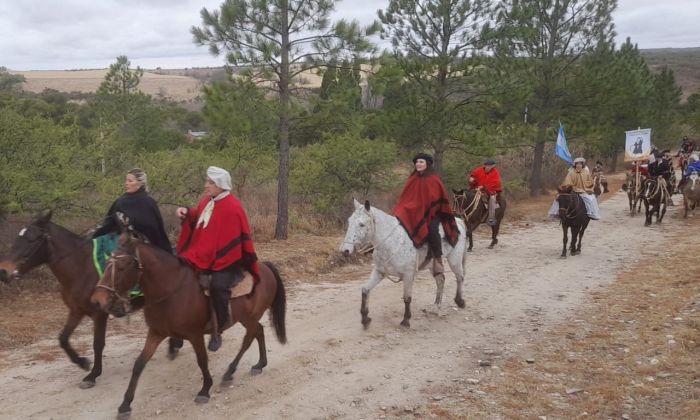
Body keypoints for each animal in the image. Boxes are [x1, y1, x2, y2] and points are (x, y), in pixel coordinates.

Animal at [0, 212, 186, 388]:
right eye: (18, 237)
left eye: (32, 239)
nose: (4, 271)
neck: (80, 268)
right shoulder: (76, 311)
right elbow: (63, 338)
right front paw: (82, 362)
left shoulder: (99, 313)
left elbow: (98, 343)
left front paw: (92, 375)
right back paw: (174, 346)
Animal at [91, 231, 288, 418]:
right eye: (107, 264)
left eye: (122, 267)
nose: (98, 300)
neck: (171, 290)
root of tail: (266, 267)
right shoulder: (156, 332)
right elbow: (139, 363)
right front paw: (125, 405)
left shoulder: (195, 334)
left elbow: (202, 360)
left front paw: (205, 390)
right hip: (247, 319)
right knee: (259, 332)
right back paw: (259, 364)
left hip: (249, 318)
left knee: (249, 338)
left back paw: (231, 371)